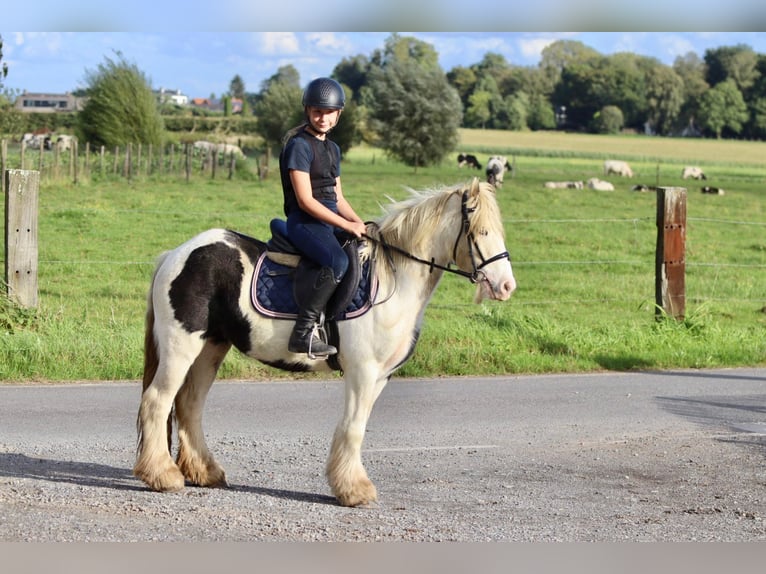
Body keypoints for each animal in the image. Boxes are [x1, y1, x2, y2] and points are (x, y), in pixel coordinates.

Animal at [135, 179, 520, 508]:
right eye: (481, 231)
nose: (506, 287)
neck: (394, 280)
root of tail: (176, 254)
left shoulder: (381, 377)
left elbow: (356, 427)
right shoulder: (362, 372)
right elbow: (353, 428)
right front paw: (354, 491)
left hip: (211, 347)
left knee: (189, 405)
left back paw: (204, 472)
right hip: (181, 346)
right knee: (157, 401)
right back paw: (163, 476)